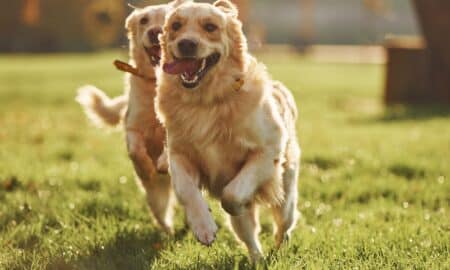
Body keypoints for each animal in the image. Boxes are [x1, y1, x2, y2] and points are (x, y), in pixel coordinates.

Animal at [75, 0, 190, 233]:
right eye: (144, 20)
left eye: (169, 20)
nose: (155, 32)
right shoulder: (133, 126)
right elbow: (136, 149)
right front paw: (146, 167)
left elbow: (167, 147)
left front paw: (162, 163)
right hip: (156, 195)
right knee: (162, 215)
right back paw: (168, 232)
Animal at [156, 0, 300, 260]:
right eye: (176, 25)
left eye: (210, 27)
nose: (186, 44)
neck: (206, 102)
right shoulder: (179, 154)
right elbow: (186, 190)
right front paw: (203, 226)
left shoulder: (267, 150)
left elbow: (231, 195)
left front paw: (236, 202)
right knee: (249, 238)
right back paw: (257, 259)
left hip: (286, 195)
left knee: (284, 224)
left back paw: (279, 246)